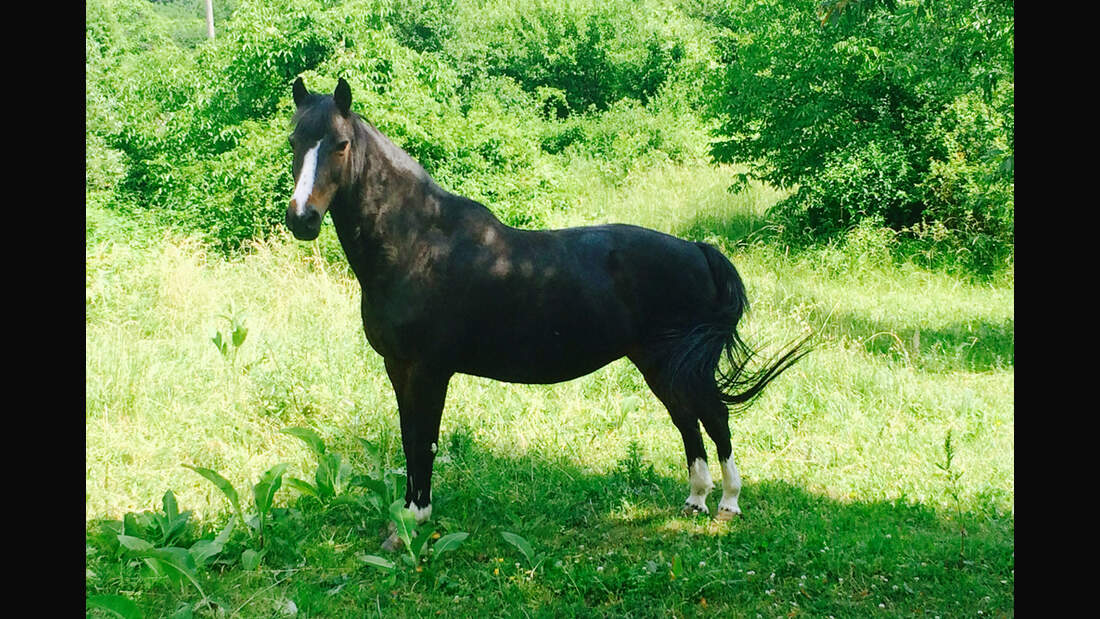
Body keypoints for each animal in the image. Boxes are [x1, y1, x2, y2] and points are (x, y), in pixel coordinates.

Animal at [279, 77, 805, 540]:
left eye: (341, 144)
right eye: (293, 141)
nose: (302, 218)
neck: (418, 243)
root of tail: (698, 250)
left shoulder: (428, 371)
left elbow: (422, 439)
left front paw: (416, 520)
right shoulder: (398, 367)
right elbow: (410, 437)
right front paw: (408, 514)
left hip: (683, 365)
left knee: (714, 416)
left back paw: (728, 503)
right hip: (659, 364)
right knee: (687, 420)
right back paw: (696, 499)